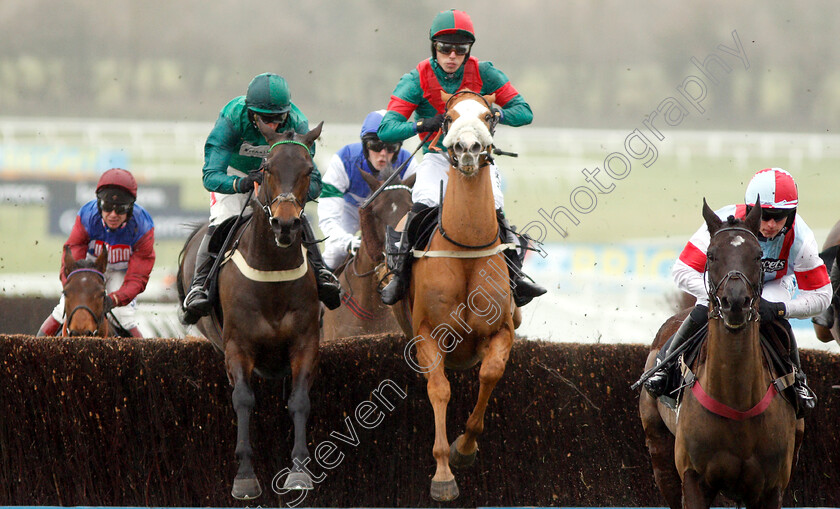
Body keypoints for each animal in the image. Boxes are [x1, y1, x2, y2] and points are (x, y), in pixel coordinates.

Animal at [176, 119, 324, 500]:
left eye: (309, 170)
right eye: (267, 168)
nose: (285, 224)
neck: (271, 271)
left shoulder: (305, 342)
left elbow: (300, 400)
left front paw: (299, 471)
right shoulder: (237, 346)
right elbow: (242, 399)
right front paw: (244, 477)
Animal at [392, 90, 520, 500]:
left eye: (488, 116)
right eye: (448, 117)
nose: (467, 148)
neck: (465, 249)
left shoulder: (502, 330)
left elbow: (490, 373)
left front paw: (465, 448)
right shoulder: (427, 334)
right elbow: (439, 390)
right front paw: (443, 473)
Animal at [640, 201, 804, 508]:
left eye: (757, 256)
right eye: (711, 254)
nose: (735, 301)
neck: (736, 400)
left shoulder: (771, 488)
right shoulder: (694, 479)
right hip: (659, 449)